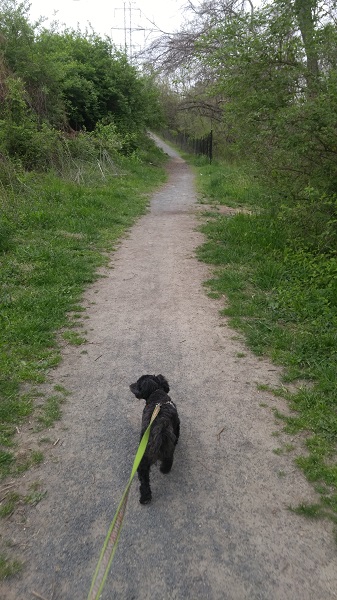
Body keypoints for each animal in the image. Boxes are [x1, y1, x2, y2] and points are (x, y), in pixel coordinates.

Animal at [129, 372, 180, 504]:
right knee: (168, 460)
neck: (157, 396)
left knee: (144, 480)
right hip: (167, 449)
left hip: (142, 461)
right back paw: (164, 470)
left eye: (137, 383)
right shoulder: (177, 425)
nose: (130, 385)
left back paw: (145, 498)